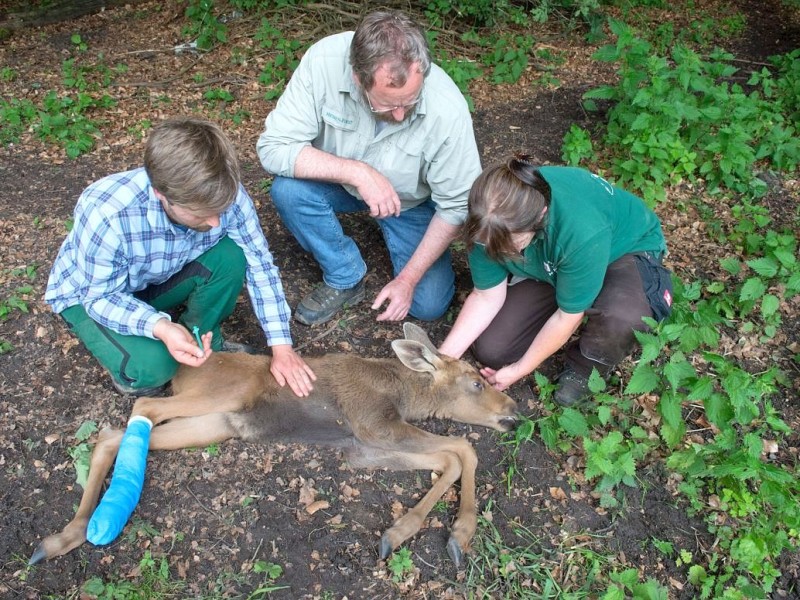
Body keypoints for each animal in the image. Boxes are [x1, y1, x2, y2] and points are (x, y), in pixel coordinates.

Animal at [29, 324, 520, 568]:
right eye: (476, 382)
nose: (513, 410)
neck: (404, 397)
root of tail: (185, 368)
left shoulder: (362, 447)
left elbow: (447, 457)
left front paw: (407, 531)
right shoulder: (374, 425)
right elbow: (462, 448)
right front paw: (453, 533)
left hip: (216, 424)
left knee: (112, 434)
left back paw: (64, 537)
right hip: (219, 396)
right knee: (143, 404)